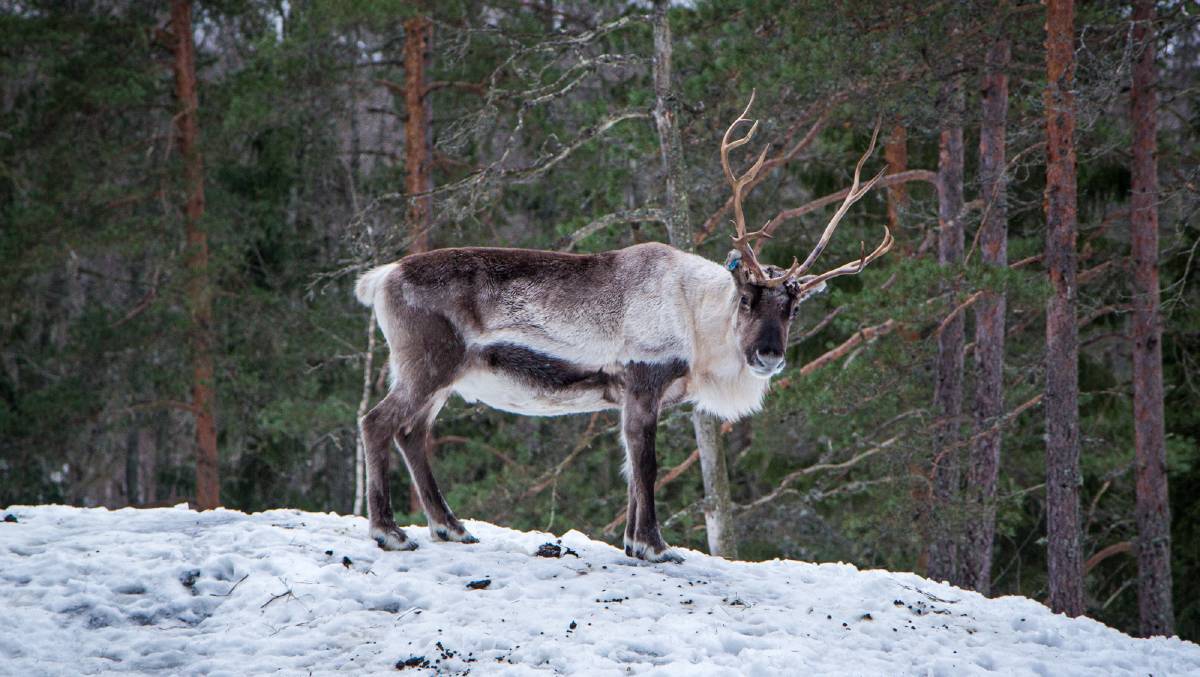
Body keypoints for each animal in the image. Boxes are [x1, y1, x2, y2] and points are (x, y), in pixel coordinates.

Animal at [354, 92, 892, 563]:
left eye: (792, 309)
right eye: (745, 298)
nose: (769, 356)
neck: (696, 324)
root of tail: (381, 278)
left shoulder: (635, 395)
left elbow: (632, 469)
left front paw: (634, 543)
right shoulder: (643, 379)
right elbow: (646, 465)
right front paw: (654, 546)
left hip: (442, 376)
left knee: (412, 433)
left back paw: (451, 527)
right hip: (426, 363)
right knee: (378, 422)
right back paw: (390, 533)